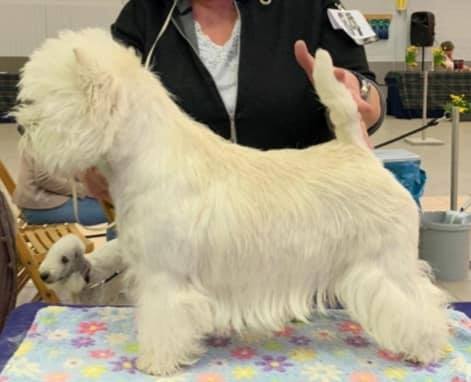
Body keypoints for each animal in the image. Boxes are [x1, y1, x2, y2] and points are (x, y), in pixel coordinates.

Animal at [13, 28, 450, 374]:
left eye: (42, 101)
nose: (20, 126)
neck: (148, 155)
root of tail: (357, 150)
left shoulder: (164, 277)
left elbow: (162, 322)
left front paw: (156, 362)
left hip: (386, 264)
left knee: (418, 303)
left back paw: (425, 348)